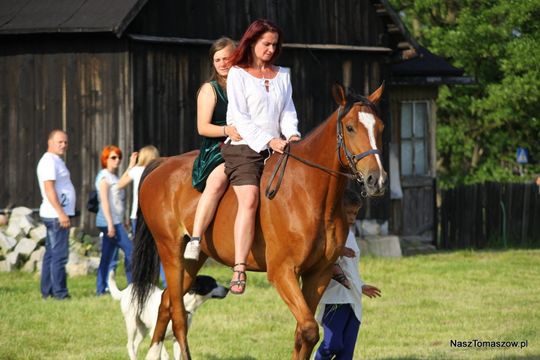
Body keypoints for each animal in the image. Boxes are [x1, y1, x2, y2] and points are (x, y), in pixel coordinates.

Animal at [132, 83, 386, 358]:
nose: (376, 180)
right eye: (350, 128)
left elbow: (303, 334)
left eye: (380, 127)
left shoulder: (318, 273)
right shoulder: (282, 272)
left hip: (192, 259)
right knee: (178, 313)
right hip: (170, 251)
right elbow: (309, 329)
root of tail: (162, 164)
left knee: (167, 301)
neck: (311, 195)